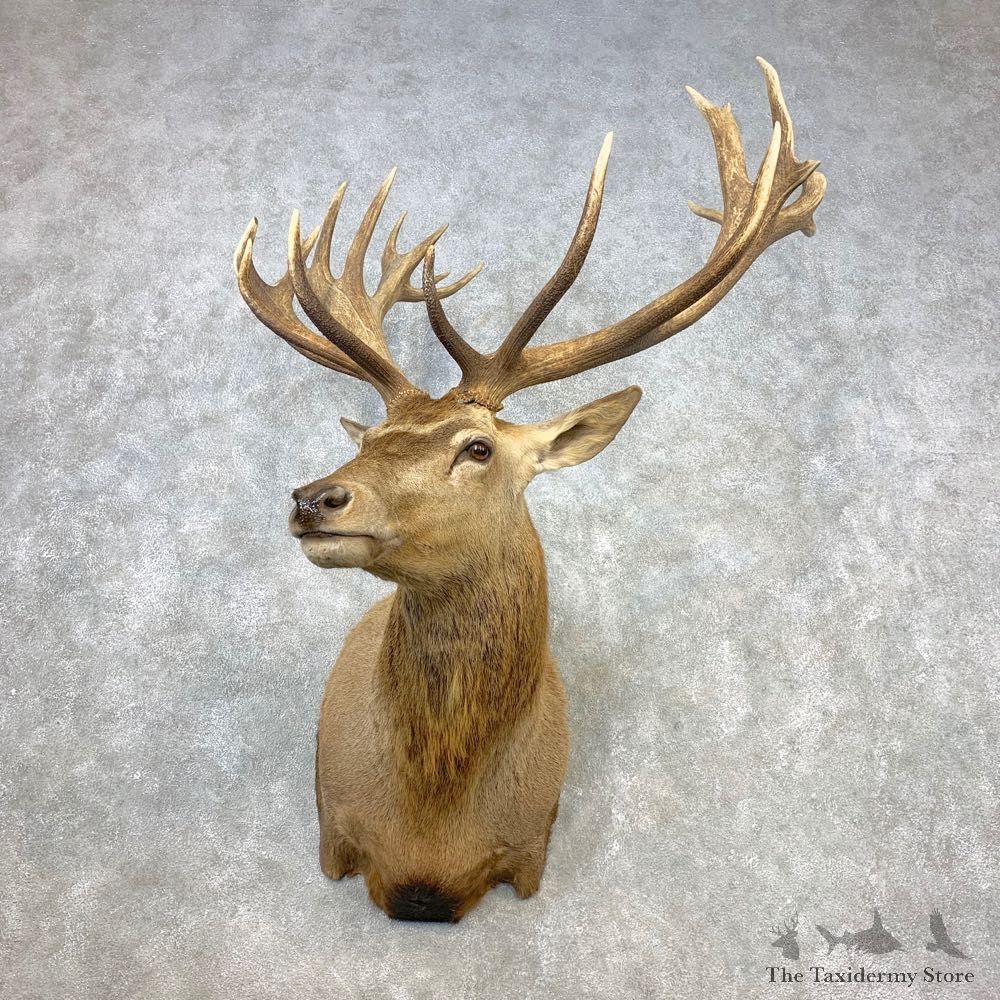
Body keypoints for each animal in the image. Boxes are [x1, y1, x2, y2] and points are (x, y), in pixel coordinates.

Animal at [233, 58, 825, 923]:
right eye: (369, 442)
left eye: (477, 447)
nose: (314, 499)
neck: (430, 834)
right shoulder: (335, 831)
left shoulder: (532, 847)